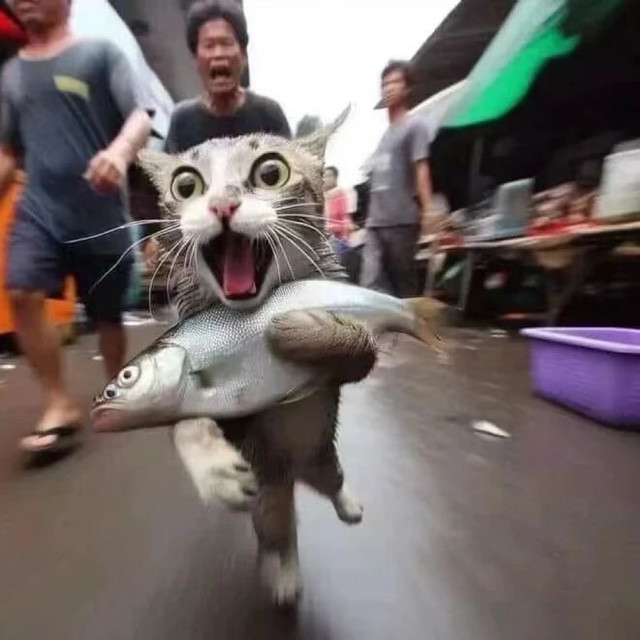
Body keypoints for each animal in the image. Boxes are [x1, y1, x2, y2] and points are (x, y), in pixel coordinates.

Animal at [137, 108, 378, 606]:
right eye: (185, 185)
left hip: (322, 457)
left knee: (333, 482)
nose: (222, 205)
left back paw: (347, 504)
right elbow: (186, 421)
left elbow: (356, 346)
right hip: (270, 491)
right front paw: (213, 468)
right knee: (279, 528)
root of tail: (296, 470)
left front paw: (303, 329)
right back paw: (283, 571)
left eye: (271, 173)